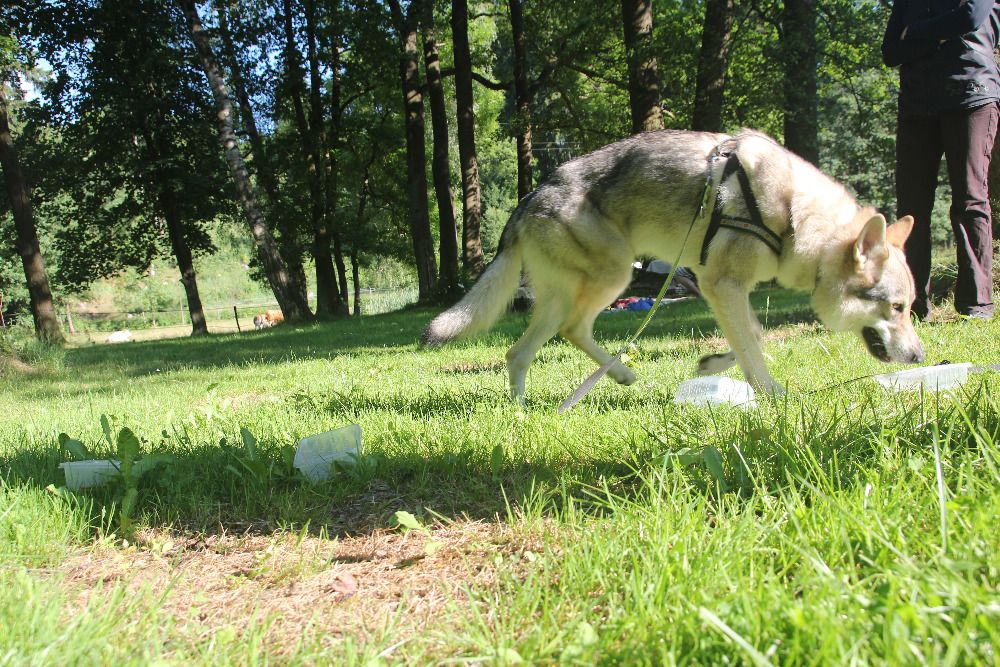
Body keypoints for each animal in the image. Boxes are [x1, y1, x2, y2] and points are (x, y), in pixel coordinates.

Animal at [420, 130, 920, 402]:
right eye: (897, 309)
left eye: (910, 308)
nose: (920, 356)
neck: (793, 216)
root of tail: (527, 199)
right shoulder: (722, 284)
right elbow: (753, 344)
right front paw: (772, 395)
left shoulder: (724, 289)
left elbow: (751, 336)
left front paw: (714, 363)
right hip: (613, 275)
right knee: (564, 333)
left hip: (572, 293)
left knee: (526, 348)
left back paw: (536, 406)